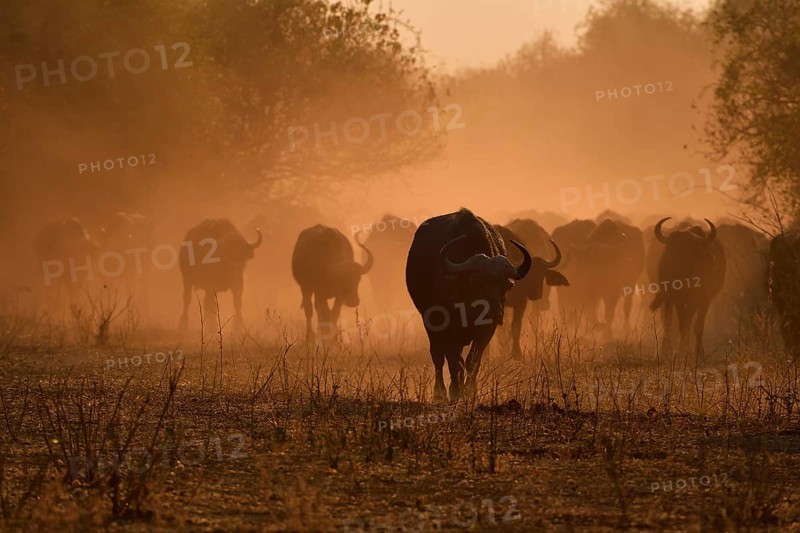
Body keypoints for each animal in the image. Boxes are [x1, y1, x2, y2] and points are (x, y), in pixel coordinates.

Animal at [405, 209, 532, 401]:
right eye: (476, 282)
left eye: (505, 285)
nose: (495, 313)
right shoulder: (446, 324)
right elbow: (452, 359)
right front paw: (455, 391)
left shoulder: (487, 329)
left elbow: (473, 361)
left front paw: (470, 392)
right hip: (429, 322)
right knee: (437, 356)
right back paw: (439, 393)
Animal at [495, 220, 567, 358]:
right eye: (529, 275)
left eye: (542, 275)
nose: (536, 294)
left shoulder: (521, 303)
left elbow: (516, 326)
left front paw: (517, 353)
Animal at [650, 218, 726, 356]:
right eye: (670, 249)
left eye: (687, 252)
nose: (670, 269)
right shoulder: (677, 299)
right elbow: (680, 324)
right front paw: (679, 351)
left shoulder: (704, 299)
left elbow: (697, 325)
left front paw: (698, 352)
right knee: (673, 321)